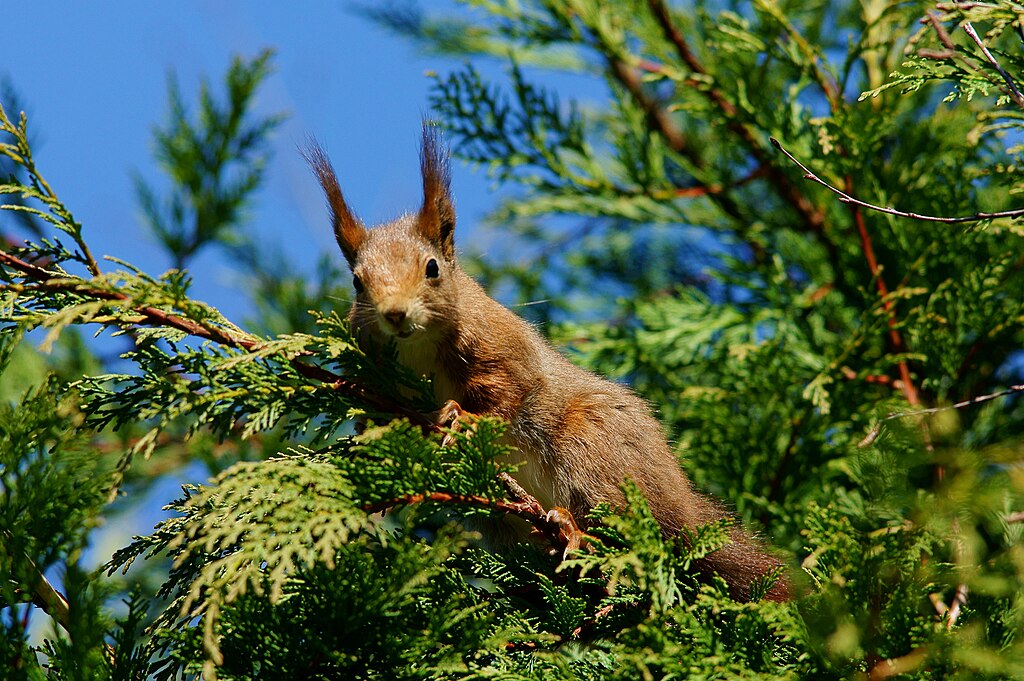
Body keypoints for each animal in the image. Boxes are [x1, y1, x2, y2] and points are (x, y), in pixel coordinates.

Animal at [306, 126, 790, 603]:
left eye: (432, 268)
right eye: (357, 281)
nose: (395, 314)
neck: (416, 349)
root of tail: (684, 510)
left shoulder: (501, 347)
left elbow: (511, 392)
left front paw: (464, 418)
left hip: (595, 450)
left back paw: (577, 532)